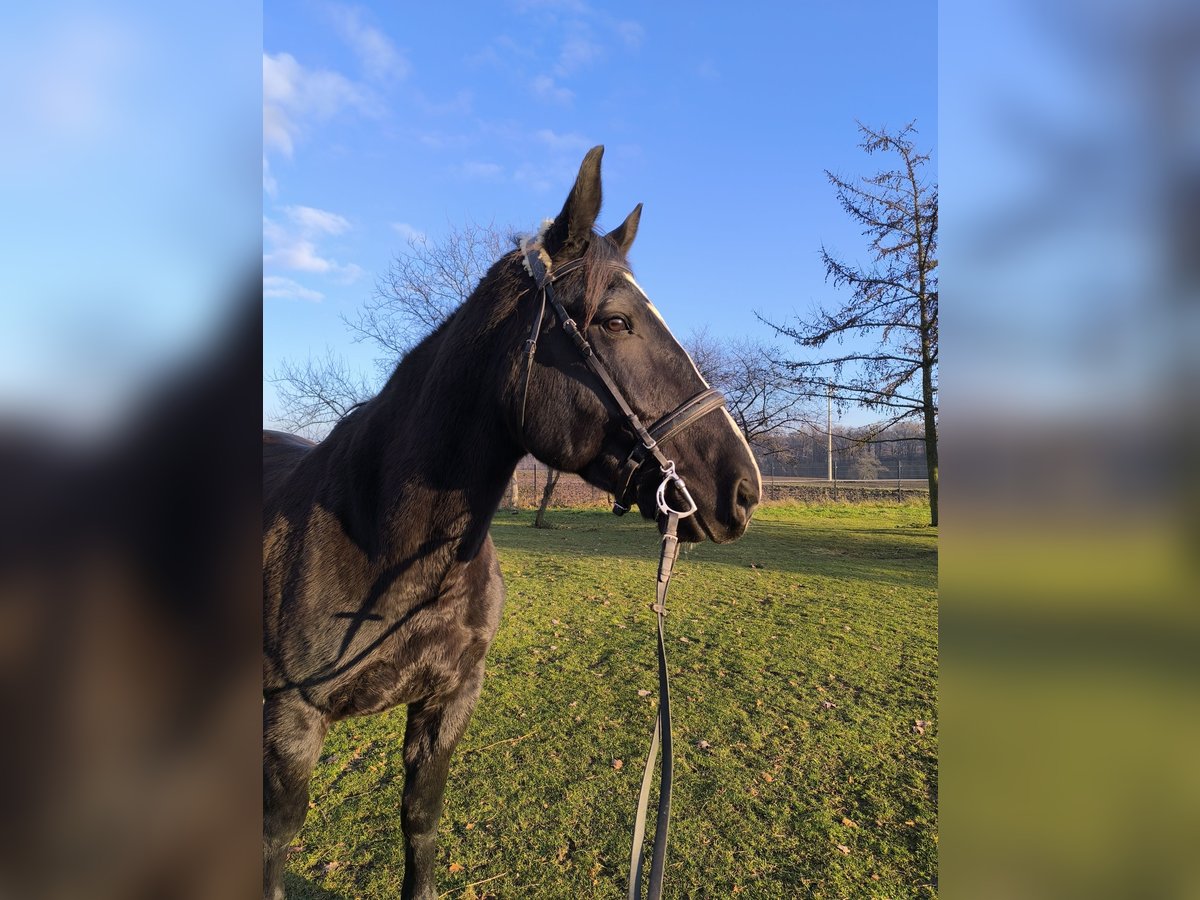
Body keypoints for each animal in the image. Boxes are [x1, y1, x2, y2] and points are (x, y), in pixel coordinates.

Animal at [267, 144, 763, 897]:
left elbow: (420, 830)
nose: (744, 488)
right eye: (615, 322)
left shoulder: (447, 705)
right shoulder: (289, 727)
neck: (383, 548)